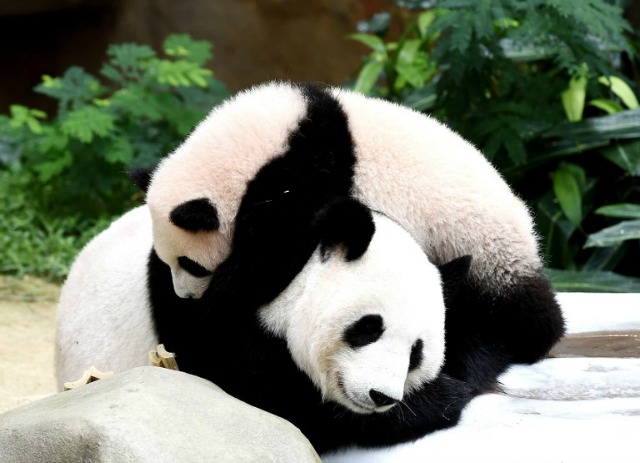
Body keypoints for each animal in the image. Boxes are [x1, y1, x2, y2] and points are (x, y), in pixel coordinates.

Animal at [56, 198, 476, 454]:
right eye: (369, 328)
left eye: (416, 352)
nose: (381, 396)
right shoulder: (216, 322)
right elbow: (278, 405)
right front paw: (444, 398)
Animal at [136, 80, 564, 392]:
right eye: (173, 262)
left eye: (190, 264)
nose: (186, 296)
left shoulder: (309, 175)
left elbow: (274, 250)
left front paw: (221, 297)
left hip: (484, 250)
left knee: (516, 315)